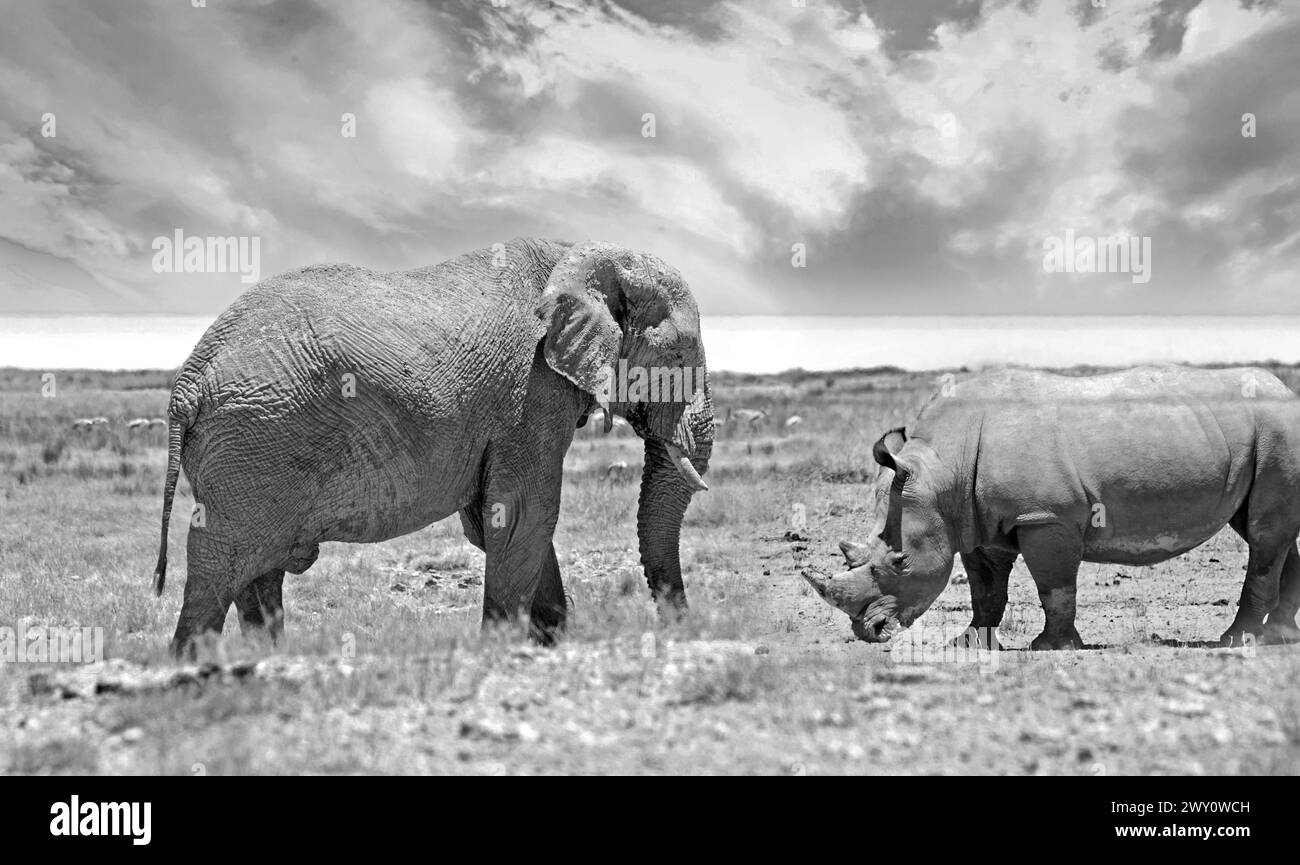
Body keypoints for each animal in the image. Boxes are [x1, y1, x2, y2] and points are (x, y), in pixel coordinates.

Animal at [158, 236, 722, 655]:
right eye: (678, 357)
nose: (679, 627)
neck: (581, 253)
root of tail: (189, 381)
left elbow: (497, 517)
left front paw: (551, 643)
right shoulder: (531, 391)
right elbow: (525, 512)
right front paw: (501, 649)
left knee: (259, 575)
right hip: (251, 445)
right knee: (218, 568)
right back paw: (194, 669)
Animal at [800, 361, 1300, 647]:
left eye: (901, 562)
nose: (867, 632)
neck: (943, 466)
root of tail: (1287, 392)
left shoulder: (1045, 517)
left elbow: (1053, 586)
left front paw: (1052, 646)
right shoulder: (977, 523)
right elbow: (986, 590)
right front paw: (970, 644)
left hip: (1278, 430)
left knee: (1264, 535)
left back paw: (1237, 641)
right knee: (1269, 532)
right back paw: (1281, 636)